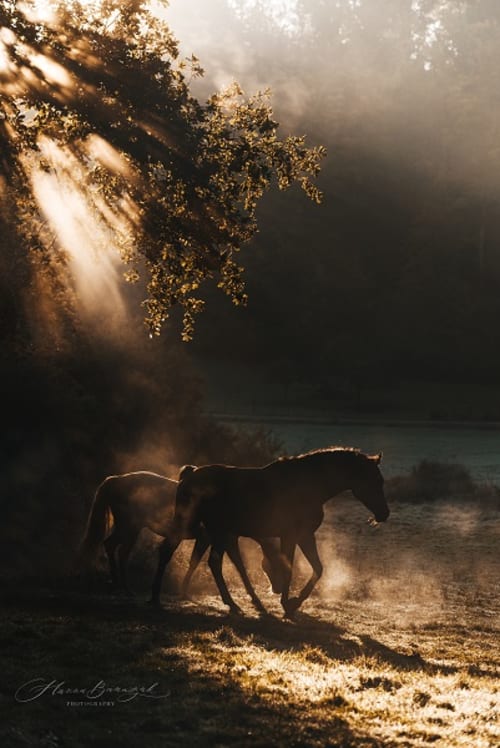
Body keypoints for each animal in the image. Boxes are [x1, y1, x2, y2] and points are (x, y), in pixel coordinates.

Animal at [78, 470, 284, 602]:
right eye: (275, 565)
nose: (278, 589)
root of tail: (116, 479)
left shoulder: (217, 540)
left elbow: (195, 561)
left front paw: (184, 592)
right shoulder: (217, 540)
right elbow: (237, 566)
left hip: (131, 528)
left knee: (118, 550)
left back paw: (124, 587)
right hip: (128, 527)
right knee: (113, 547)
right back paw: (118, 584)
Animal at [152, 448, 389, 617]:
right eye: (376, 480)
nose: (384, 514)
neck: (310, 485)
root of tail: (189, 475)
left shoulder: (304, 536)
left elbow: (317, 568)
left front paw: (294, 602)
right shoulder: (291, 536)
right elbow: (288, 569)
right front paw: (288, 604)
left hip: (214, 531)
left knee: (204, 560)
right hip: (204, 528)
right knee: (184, 555)